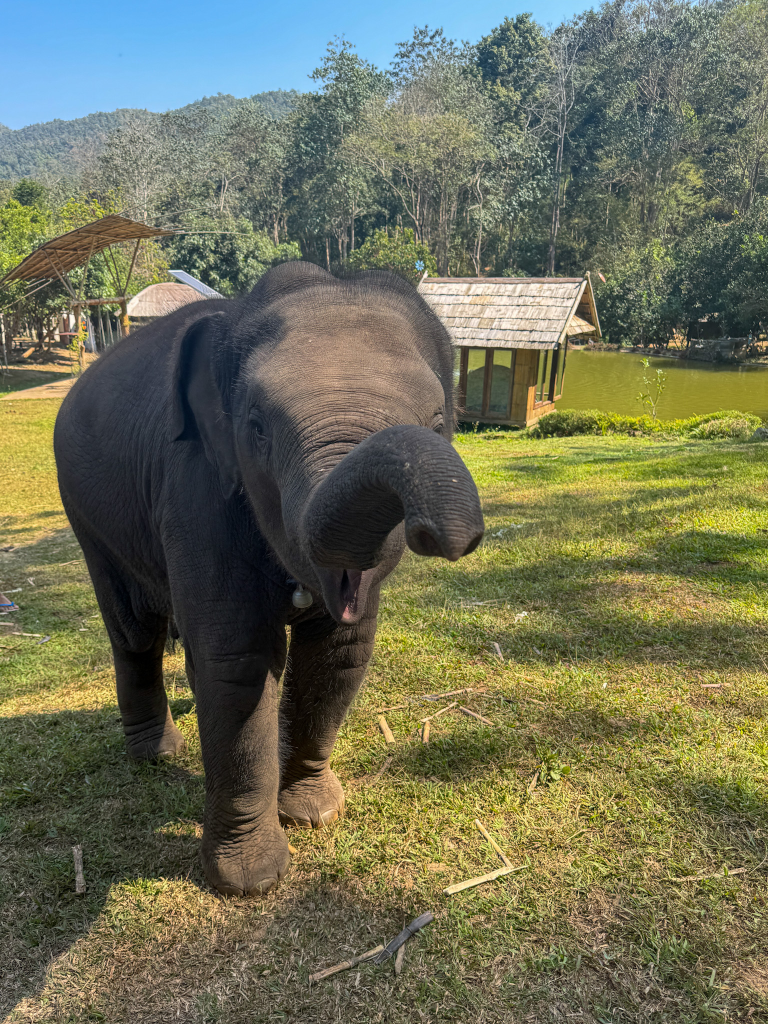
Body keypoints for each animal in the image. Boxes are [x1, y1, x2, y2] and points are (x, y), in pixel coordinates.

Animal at [53, 262, 484, 896]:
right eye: (257, 428)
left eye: (438, 421)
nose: (443, 534)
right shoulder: (195, 491)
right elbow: (236, 666)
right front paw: (250, 879)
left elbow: (340, 652)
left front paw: (314, 812)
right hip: (88, 516)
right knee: (134, 631)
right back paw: (156, 754)